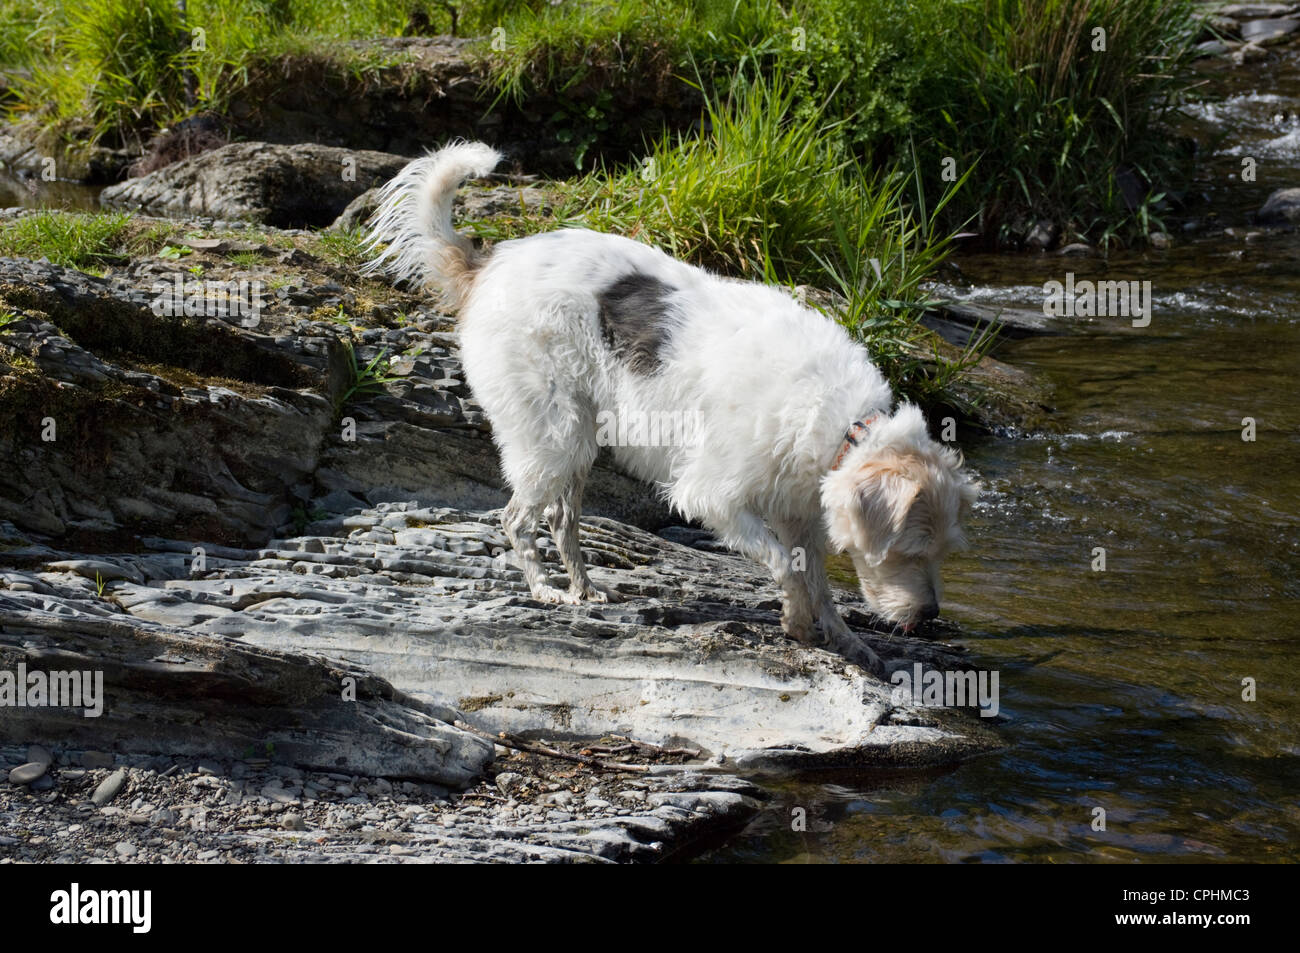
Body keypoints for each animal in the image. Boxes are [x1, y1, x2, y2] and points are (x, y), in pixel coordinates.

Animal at [366, 141, 977, 670]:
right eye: (911, 548)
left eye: (945, 549)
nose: (930, 616)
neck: (843, 424)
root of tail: (485, 267)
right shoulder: (716, 498)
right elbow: (786, 567)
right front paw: (798, 623)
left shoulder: (800, 513)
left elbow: (820, 583)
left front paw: (846, 640)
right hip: (553, 436)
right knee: (517, 518)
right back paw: (546, 591)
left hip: (577, 443)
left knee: (562, 520)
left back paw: (585, 590)